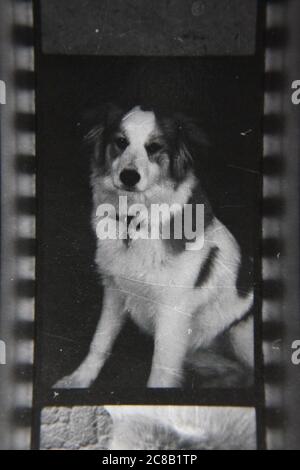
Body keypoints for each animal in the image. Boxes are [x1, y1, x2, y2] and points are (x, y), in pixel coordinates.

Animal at [55, 104, 254, 388]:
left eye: (154, 147)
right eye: (121, 142)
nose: (129, 176)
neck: (134, 221)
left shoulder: (171, 313)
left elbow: (160, 372)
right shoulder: (114, 290)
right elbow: (100, 342)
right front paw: (79, 380)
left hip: (240, 334)